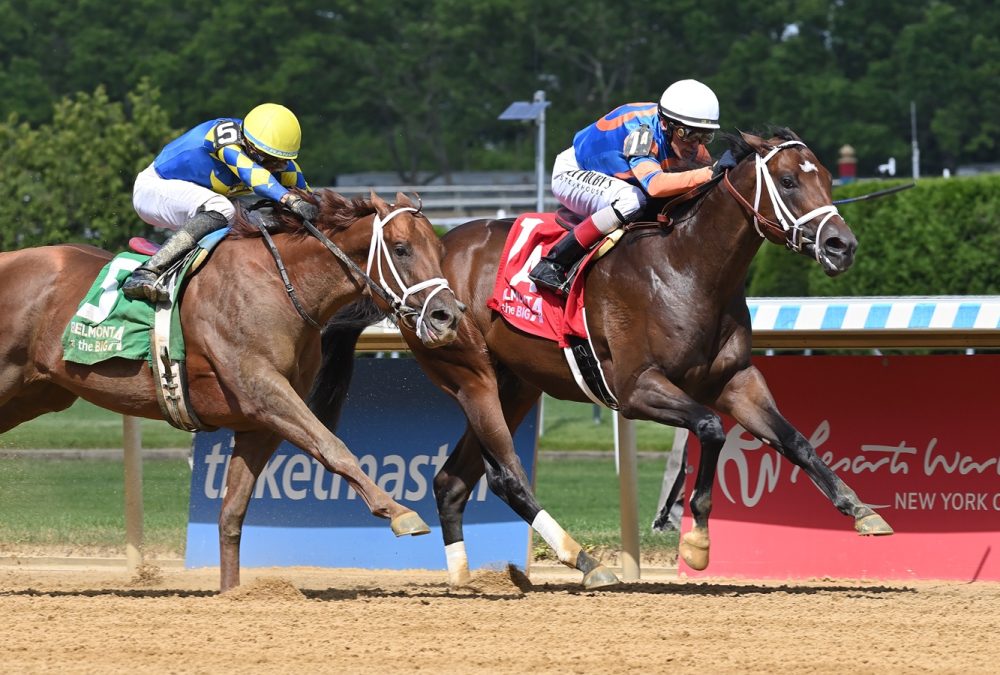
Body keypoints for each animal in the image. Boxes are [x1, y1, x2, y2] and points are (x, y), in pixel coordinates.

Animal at [0, 190, 460, 592]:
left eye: (438, 249)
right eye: (401, 249)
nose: (447, 316)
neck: (279, 285)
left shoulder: (262, 422)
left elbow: (233, 510)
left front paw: (231, 592)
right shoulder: (263, 390)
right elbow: (333, 447)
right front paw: (400, 512)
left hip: (34, 394)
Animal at [308, 129, 896, 588]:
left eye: (828, 177)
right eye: (790, 182)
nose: (842, 245)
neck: (687, 269)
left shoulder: (736, 381)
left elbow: (794, 439)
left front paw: (862, 511)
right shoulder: (636, 389)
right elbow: (710, 428)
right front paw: (698, 541)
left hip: (516, 385)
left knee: (453, 481)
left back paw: (463, 576)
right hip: (469, 376)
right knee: (505, 476)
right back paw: (585, 560)